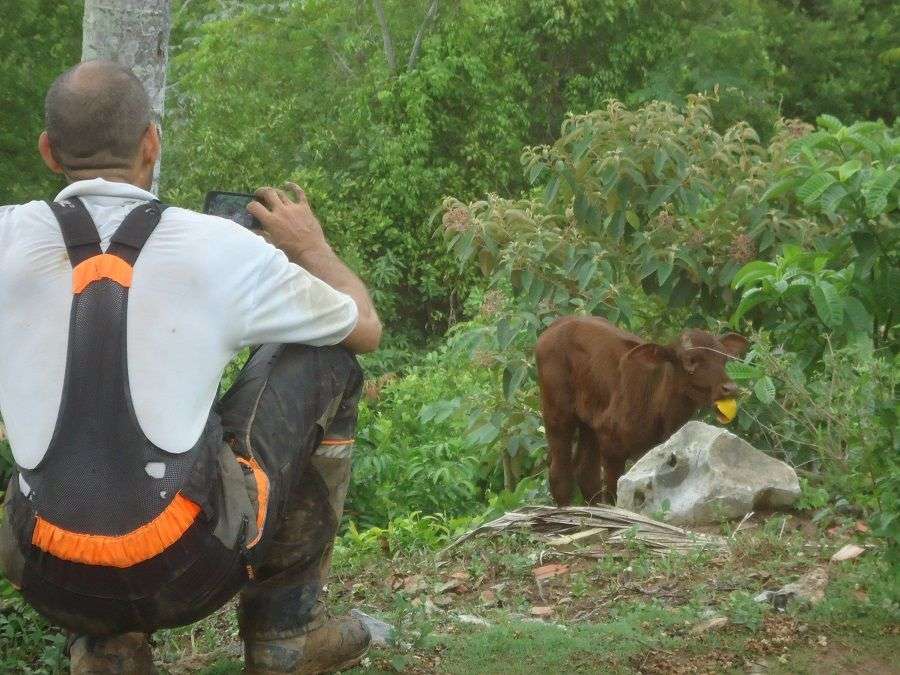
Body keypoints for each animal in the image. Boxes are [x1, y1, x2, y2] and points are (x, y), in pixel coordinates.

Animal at [536, 318, 744, 508]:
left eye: (724, 359)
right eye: (690, 361)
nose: (730, 388)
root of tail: (557, 325)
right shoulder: (612, 448)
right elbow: (614, 496)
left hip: (590, 422)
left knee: (586, 473)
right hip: (557, 412)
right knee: (560, 473)